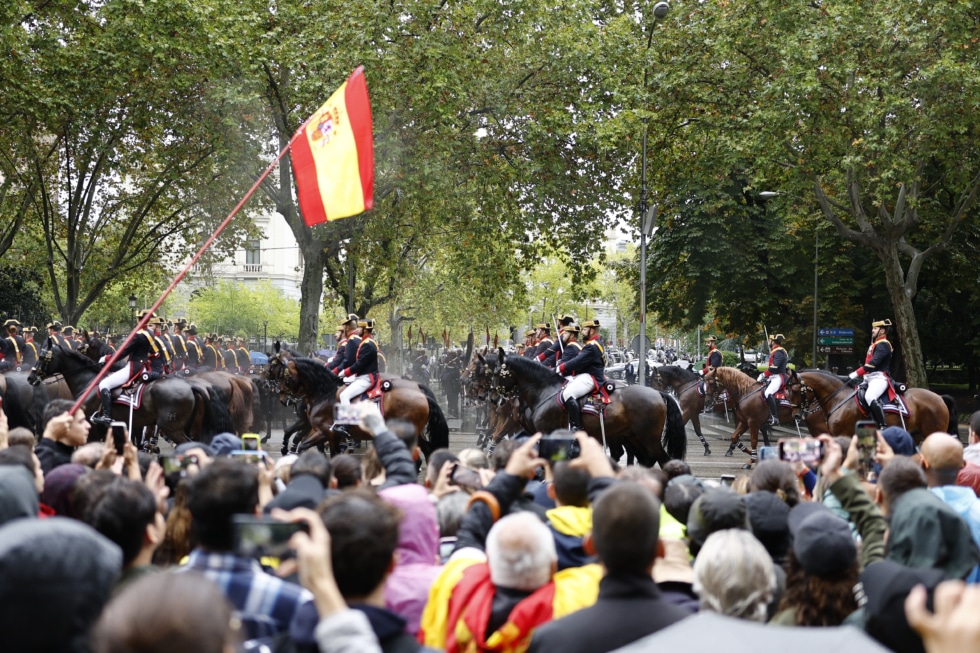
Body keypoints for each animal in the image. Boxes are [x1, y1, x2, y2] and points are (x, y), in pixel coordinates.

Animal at [28, 338, 218, 446]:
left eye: (43, 357)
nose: (30, 377)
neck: (88, 383)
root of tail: (189, 386)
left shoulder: (92, 430)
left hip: (173, 429)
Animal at [280, 356, 448, 458]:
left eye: (285, 377)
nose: (283, 399)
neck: (324, 394)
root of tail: (420, 393)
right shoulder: (328, 435)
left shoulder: (323, 432)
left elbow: (303, 445)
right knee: (427, 450)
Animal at [490, 348, 688, 466]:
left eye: (496, 373)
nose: (493, 399)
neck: (544, 390)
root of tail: (658, 393)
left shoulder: (547, 433)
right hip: (634, 437)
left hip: (648, 438)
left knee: (661, 460)